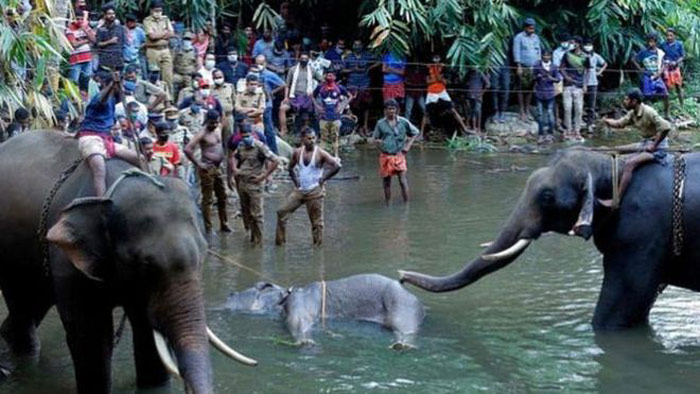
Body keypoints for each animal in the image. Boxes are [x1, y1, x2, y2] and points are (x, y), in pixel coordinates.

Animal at [0, 132, 256, 394]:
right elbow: (92, 335)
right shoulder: (67, 259)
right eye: (145, 265)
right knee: (22, 302)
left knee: (32, 304)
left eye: (204, 255)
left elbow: (146, 329)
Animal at [228, 274, 426, 348]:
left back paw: (401, 345)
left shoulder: (300, 303)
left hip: (401, 306)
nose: (229, 294)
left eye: (258, 287)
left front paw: (305, 341)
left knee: (404, 329)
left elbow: (298, 322)